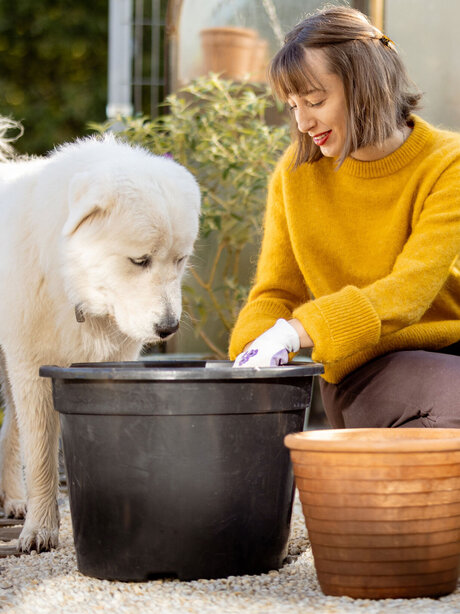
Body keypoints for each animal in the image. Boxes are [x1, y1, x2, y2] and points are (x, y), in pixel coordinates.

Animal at [0, 120, 201, 552]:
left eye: (180, 260)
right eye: (139, 261)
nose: (168, 328)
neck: (71, 284)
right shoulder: (29, 365)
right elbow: (40, 455)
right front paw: (41, 531)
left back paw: (13, 498)